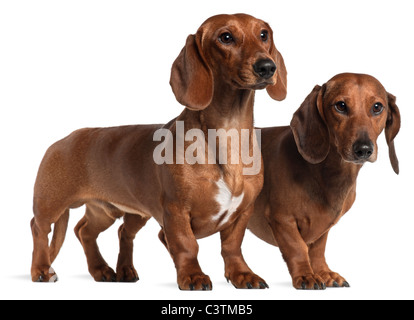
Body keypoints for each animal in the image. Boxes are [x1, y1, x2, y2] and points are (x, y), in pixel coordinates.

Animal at [29, 13, 288, 290]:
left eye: (263, 34)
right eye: (225, 37)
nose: (267, 67)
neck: (229, 133)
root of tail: (63, 139)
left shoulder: (243, 211)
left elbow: (232, 246)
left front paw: (242, 274)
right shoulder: (175, 212)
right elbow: (187, 245)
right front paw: (193, 276)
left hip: (111, 211)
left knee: (91, 231)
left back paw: (107, 270)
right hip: (51, 204)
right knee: (39, 229)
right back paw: (41, 270)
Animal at [247, 73, 400, 290]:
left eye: (377, 107)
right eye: (341, 105)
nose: (364, 149)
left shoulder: (323, 228)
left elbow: (318, 249)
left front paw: (323, 273)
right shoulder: (281, 219)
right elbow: (297, 248)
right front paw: (306, 275)